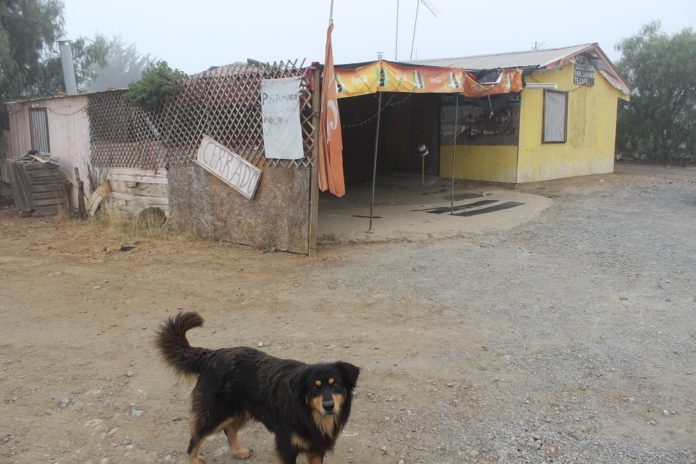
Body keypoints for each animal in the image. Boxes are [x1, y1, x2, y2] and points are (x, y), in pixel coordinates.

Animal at [156, 312, 362, 464]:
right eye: (314, 387)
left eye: (336, 384)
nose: (328, 406)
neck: (308, 413)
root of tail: (212, 355)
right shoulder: (286, 445)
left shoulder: (316, 448)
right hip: (215, 413)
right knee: (194, 439)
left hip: (240, 410)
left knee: (229, 430)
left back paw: (239, 451)